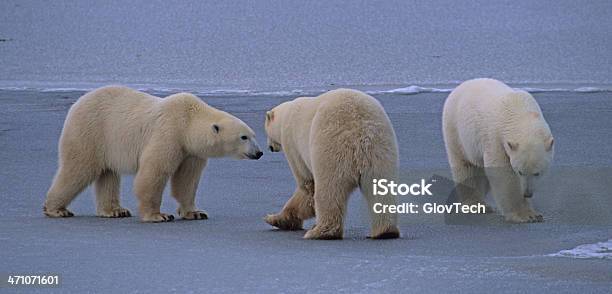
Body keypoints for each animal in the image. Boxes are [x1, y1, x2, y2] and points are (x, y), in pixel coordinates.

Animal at [42, 86, 262, 222]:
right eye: (243, 137)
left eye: (253, 134)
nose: (259, 152)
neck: (188, 121)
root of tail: (77, 103)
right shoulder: (168, 134)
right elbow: (154, 172)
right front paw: (158, 215)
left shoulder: (190, 151)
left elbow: (187, 180)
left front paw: (195, 212)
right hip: (90, 131)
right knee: (78, 169)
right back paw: (56, 209)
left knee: (108, 174)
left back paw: (115, 211)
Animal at [264, 89, 402, 239]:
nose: (270, 147)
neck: (286, 115)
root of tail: (360, 130)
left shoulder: (293, 145)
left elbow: (307, 185)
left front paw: (274, 219)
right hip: (381, 150)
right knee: (381, 188)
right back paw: (385, 231)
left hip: (331, 148)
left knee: (329, 190)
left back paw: (321, 232)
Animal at [440, 78, 556, 223]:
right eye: (520, 171)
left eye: (537, 173)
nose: (527, 193)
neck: (520, 110)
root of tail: (460, 86)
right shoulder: (496, 138)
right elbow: (503, 174)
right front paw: (526, 215)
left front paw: (536, 214)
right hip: (456, 131)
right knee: (467, 166)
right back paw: (476, 205)